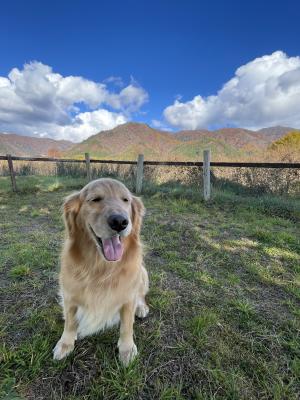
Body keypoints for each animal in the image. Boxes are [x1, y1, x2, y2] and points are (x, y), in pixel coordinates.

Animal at [53, 178, 149, 366]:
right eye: (95, 199)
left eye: (125, 200)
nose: (120, 222)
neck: (101, 267)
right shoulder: (69, 294)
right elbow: (70, 322)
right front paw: (65, 343)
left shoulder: (128, 297)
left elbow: (127, 326)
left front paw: (127, 349)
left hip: (142, 273)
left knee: (141, 295)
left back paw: (141, 307)